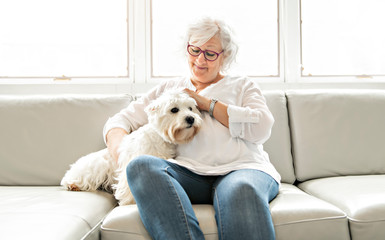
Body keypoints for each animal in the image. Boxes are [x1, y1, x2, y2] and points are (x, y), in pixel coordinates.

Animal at [60, 91, 201, 205]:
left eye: (190, 108)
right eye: (174, 109)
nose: (191, 118)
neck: (160, 138)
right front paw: (129, 201)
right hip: (97, 166)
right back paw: (72, 184)